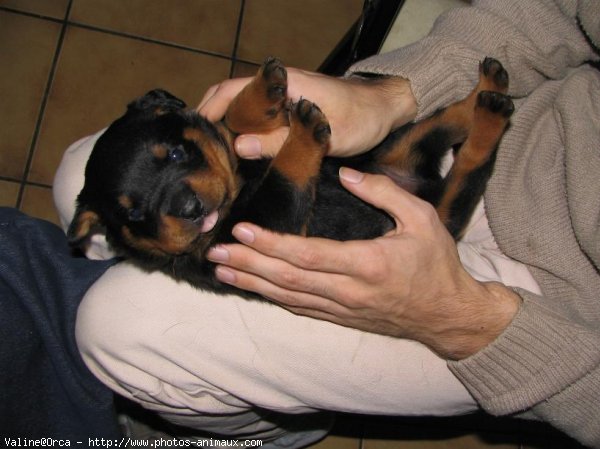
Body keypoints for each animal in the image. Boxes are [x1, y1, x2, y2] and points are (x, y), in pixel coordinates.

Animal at [69, 57, 510, 300]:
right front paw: (303, 131)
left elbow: (231, 121)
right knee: (469, 160)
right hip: (440, 203)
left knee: (446, 121)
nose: (190, 209)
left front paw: (264, 91)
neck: (241, 183)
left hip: (390, 147)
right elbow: (284, 172)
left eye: (177, 152)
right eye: (135, 214)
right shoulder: (261, 227)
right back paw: (491, 109)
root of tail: (422, 189)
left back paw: (490, 89)